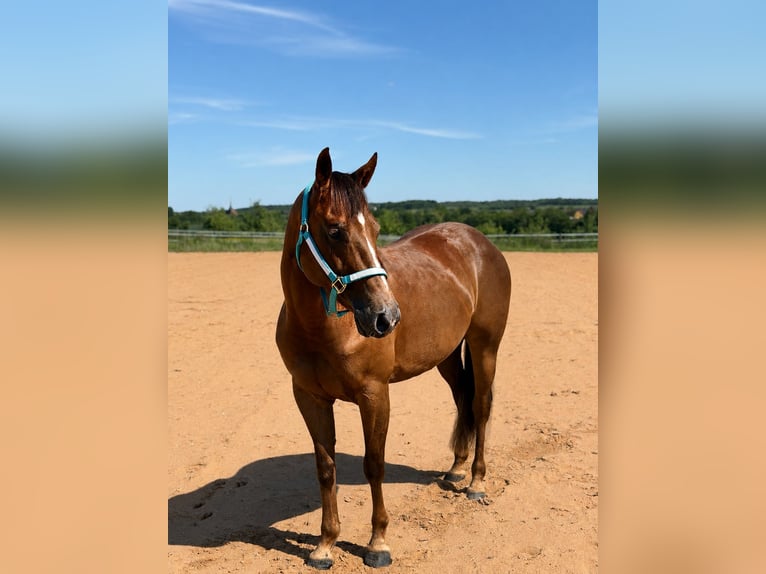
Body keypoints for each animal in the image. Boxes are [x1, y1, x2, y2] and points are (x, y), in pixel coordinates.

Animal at [275, 148, 511, 569]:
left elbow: (374, 464)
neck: (322, 330)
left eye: (374, 228)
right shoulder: (309, 397)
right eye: (334, 230)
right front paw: (324, 545)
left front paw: (377, 544)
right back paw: (455, 470)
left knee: (481, 406)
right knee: (463, 400)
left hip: (485, 346)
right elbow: (325, 468)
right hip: (446, 355)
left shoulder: (374, 395)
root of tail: (480, 244)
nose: (386, 316)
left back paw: (476, 482)